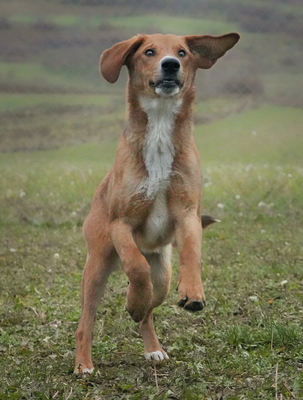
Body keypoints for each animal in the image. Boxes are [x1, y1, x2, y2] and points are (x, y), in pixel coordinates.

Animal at [75, 32, 240, 376]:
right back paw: (84, 363)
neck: (161, 130)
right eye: (149, 52)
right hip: (96, 267)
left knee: (151, 305)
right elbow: (135, 266)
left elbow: (191, 253)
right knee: (87, 321)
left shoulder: (188, 213)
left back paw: (152, 346)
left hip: (162, 273)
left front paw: (193, 292)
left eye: (183, 52)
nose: (171, 64)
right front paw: (133, 299)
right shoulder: (121, 223)